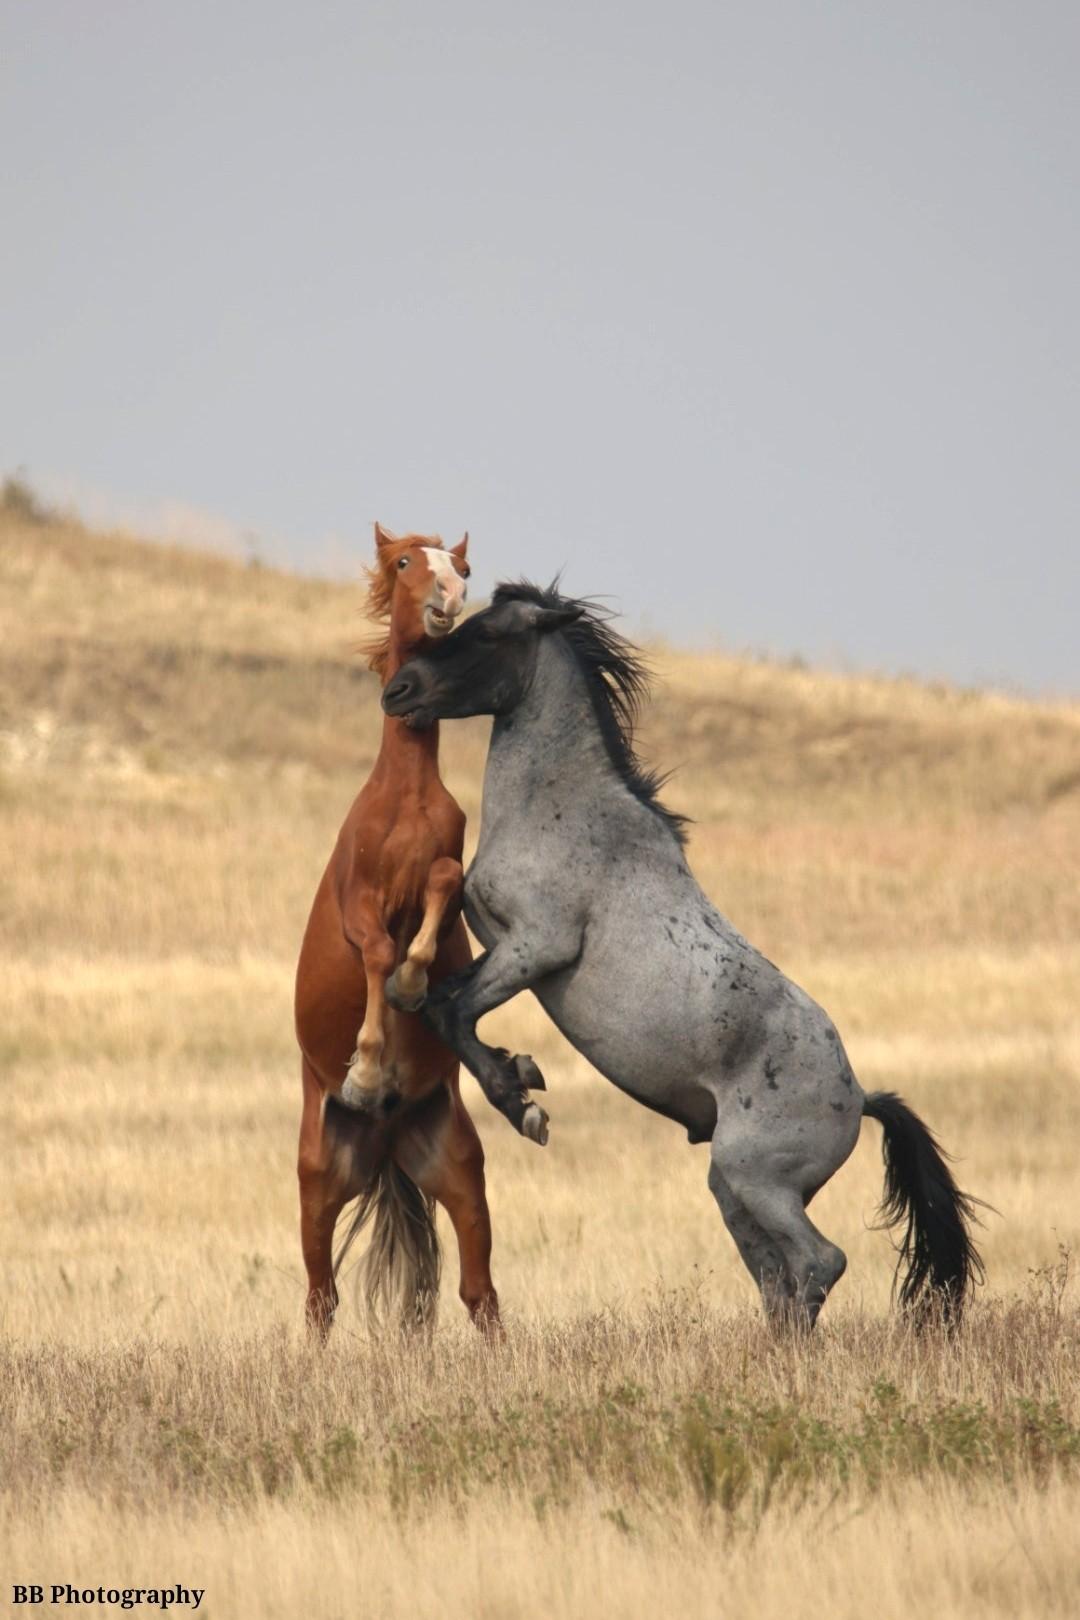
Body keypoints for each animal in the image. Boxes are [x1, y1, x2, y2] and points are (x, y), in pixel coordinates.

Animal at [293, 524, 501, 1334]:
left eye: (464, 565)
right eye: (408, 563)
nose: (452, 598)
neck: (405, 795)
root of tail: (383, 1142)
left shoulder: (448, 872)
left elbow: (440, 888)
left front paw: (416, 983)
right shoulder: (358, 902)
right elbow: (379, 951)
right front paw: (368, 1066)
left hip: (460, 1172)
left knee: (479, 1293)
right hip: (318, 1184)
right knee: (320, 1300)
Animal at [380, 589, 977, 1321]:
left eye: (488, 634)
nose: (400, 690)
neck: (561, 810)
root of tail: (859, 1097)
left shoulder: (537, 946)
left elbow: (455, 1013)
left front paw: (523, 1103)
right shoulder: (501, 947)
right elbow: (442, 1002)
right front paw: (518, 1071)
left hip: (757, 1180)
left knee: (819, 1263)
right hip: (733, 1188)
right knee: (777, 1278)